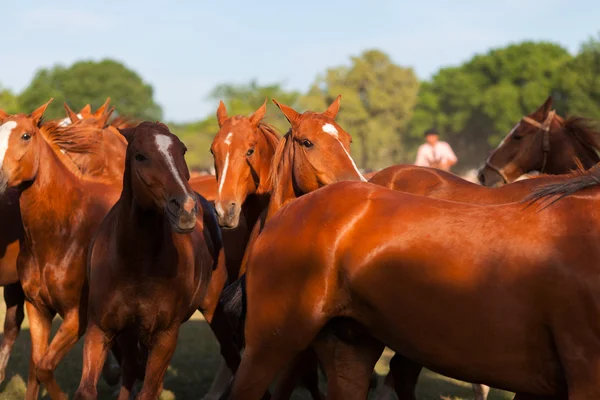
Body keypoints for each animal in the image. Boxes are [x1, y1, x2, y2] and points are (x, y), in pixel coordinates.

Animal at [74, 122, 224, 400]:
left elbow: (148, 390)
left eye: (182, 150)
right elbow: (89, 389)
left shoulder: (165, 336)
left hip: (211, 309)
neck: (136, 265)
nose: (186, 208)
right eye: (140, 156)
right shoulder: (101, 329)